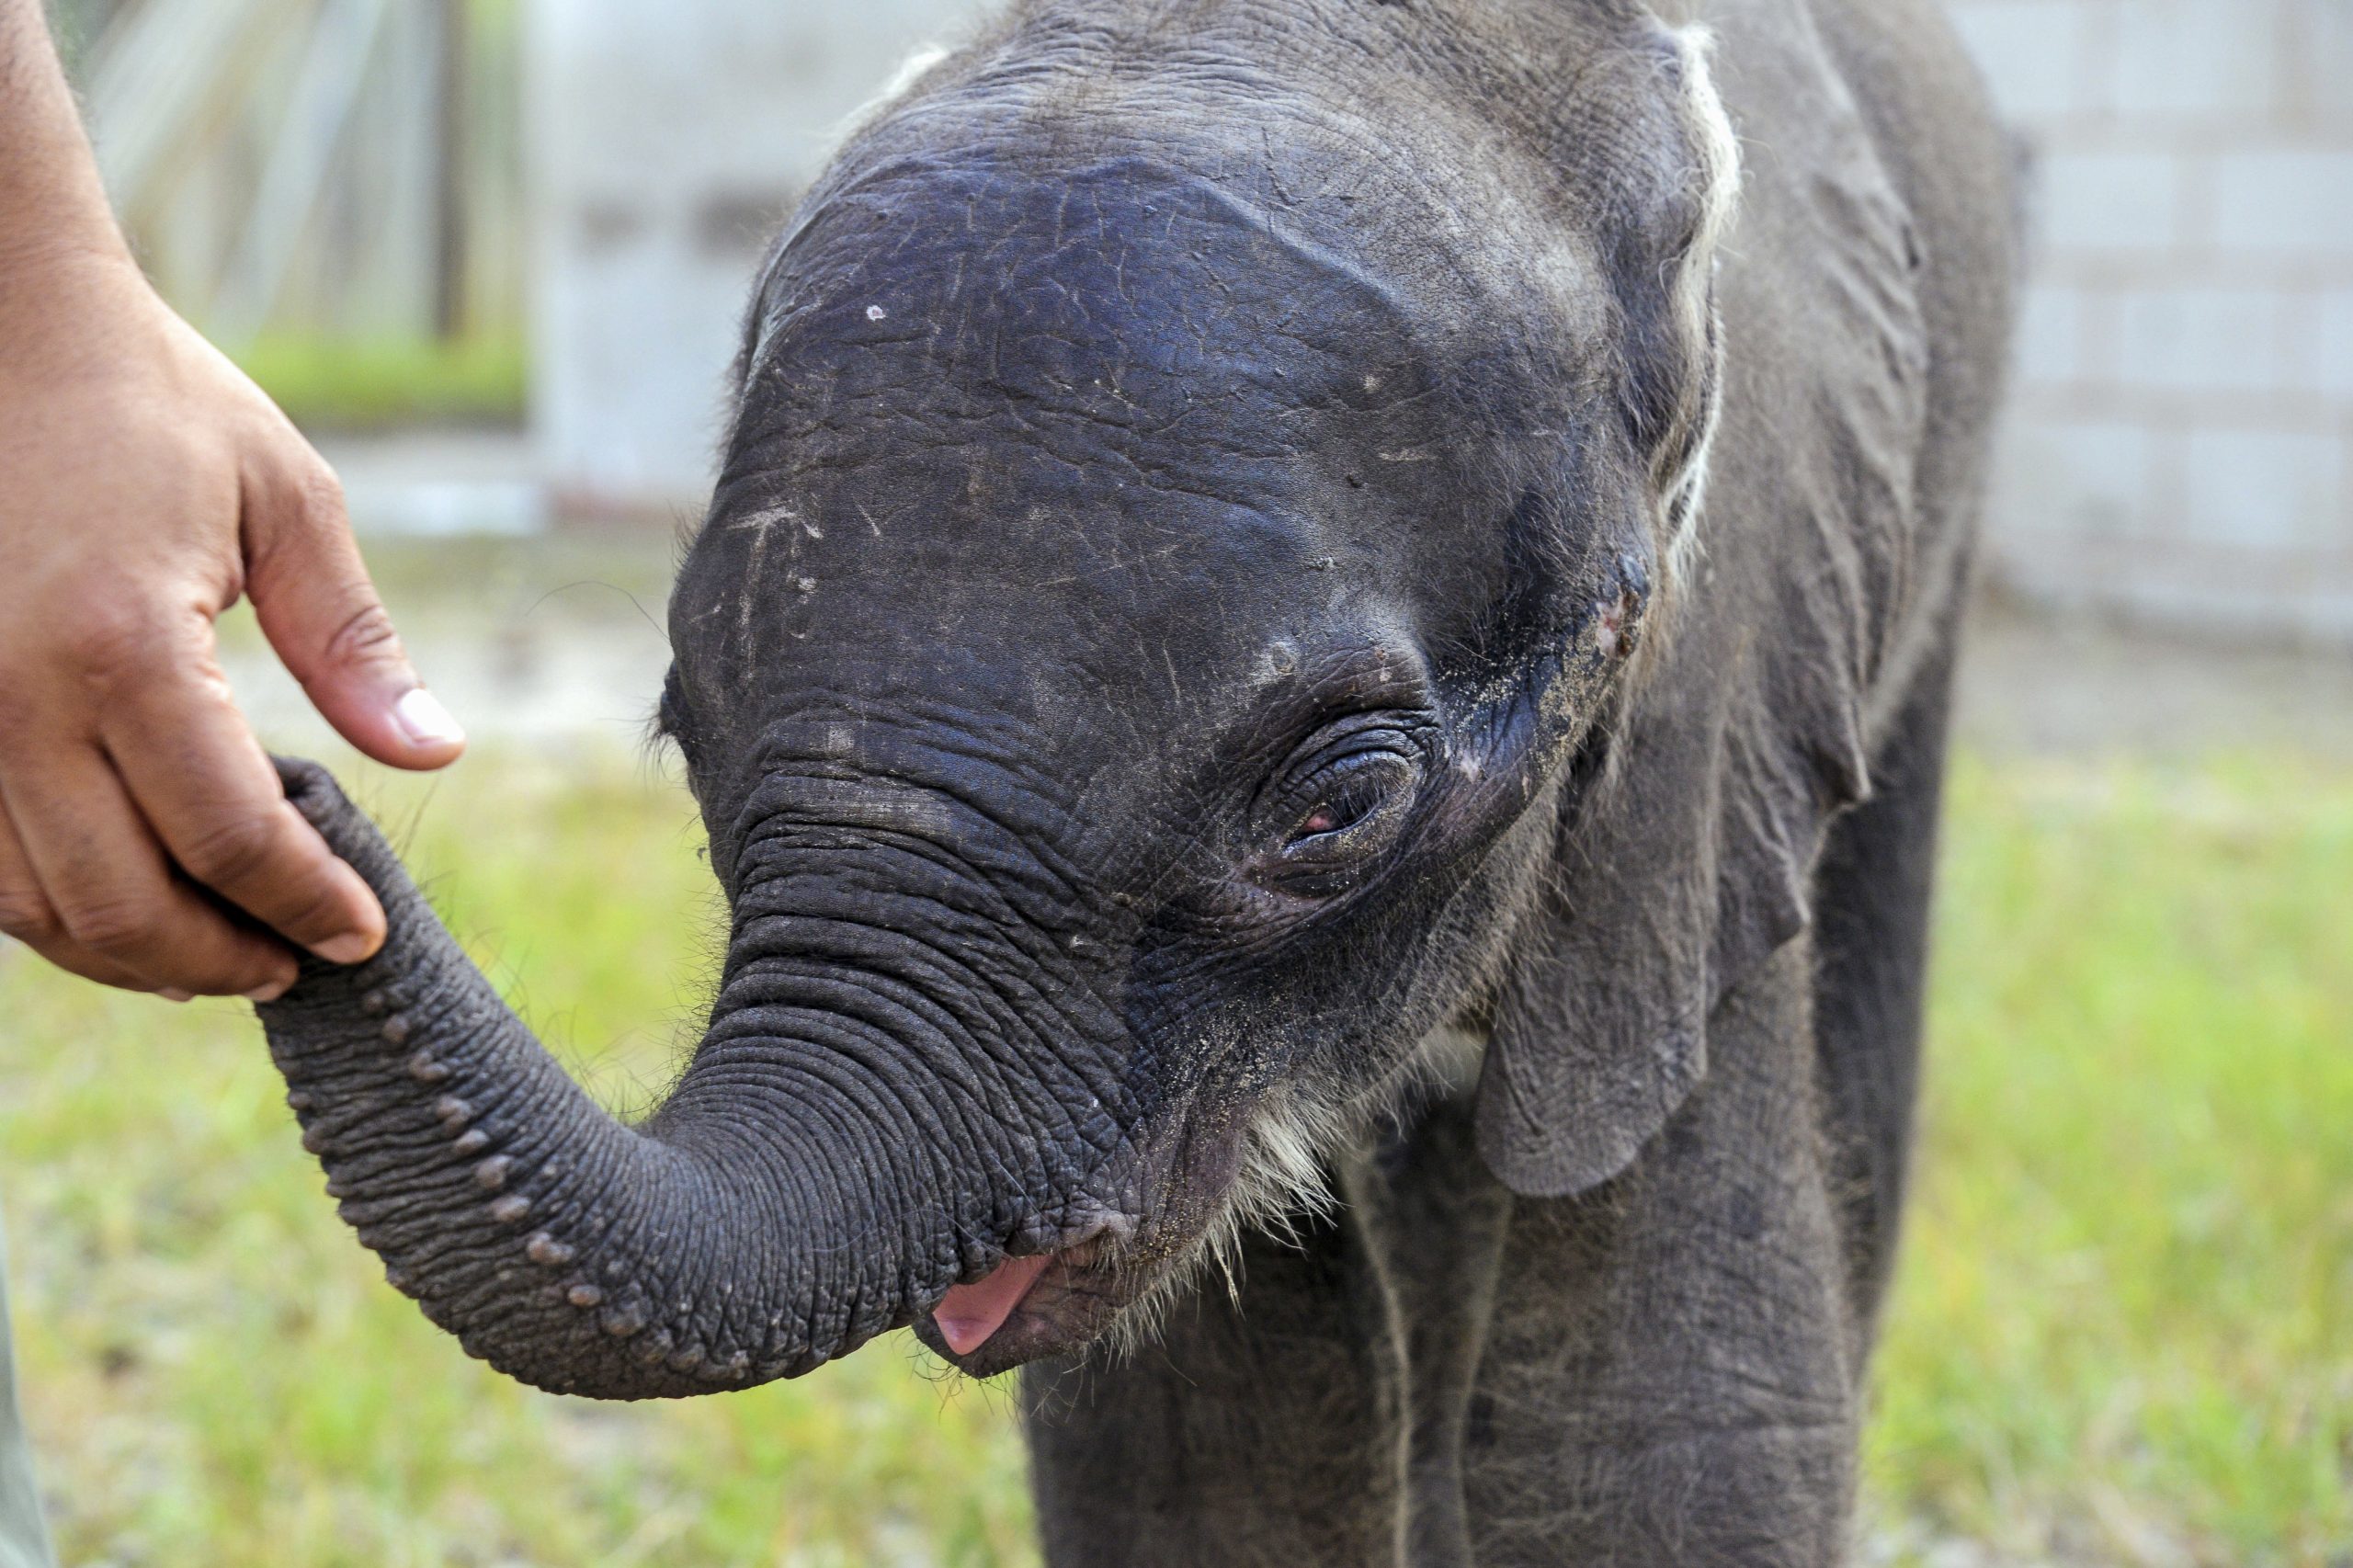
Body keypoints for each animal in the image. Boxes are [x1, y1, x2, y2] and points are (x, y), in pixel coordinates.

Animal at [253, 0, 2016, 1560]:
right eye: (685, 734)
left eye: (1337, 805)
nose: (291, 795)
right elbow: (1205, 1449)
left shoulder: (1719, 684)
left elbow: (1669, 1430)